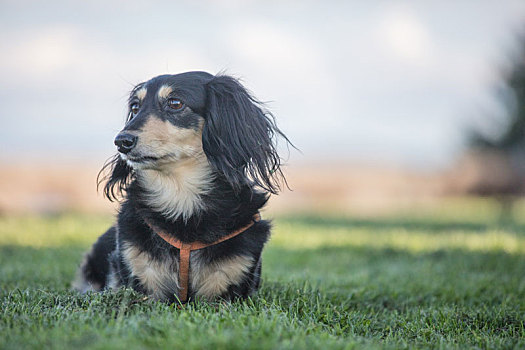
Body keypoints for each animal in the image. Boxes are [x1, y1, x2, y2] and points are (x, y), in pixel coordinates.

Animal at [72, 72, 290, 304]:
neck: (181, 200)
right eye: (135, 107)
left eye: (175, 103)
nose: (121, 141)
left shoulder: (228, 287)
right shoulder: (142, 281)